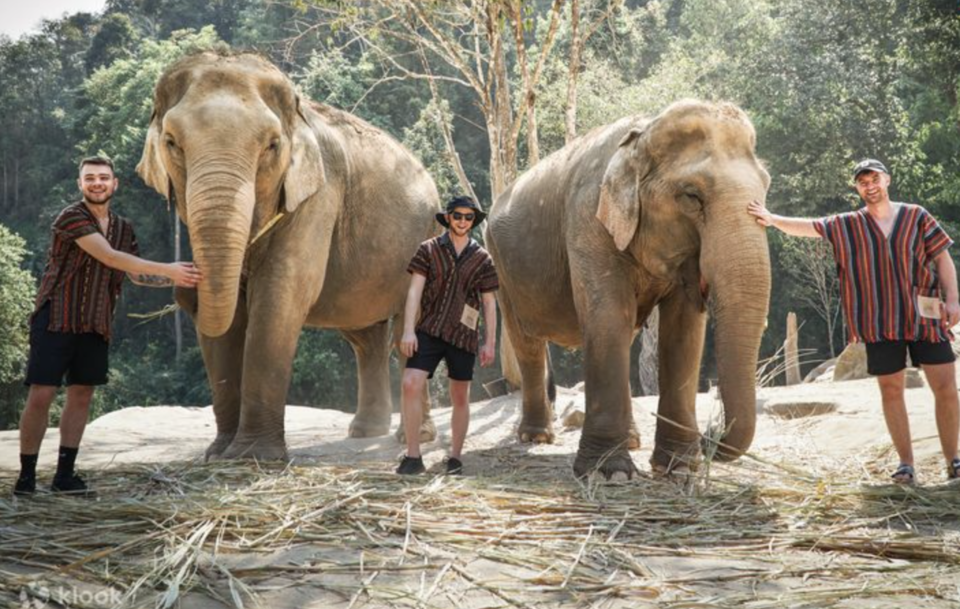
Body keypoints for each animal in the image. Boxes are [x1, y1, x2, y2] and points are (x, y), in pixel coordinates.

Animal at [136, 52, 440, 460]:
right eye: (171, 142)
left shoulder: (319, 195)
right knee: (366, 337)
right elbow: (230, 318)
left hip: (427, 237)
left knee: (408, 329)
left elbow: (280, 295)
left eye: (272, 145)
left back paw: (412, 437)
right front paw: (218, 454)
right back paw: (365, 432)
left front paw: (253, 457)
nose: (184, 292)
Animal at [485, 100, 771, 479]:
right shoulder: (587, 219)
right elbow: (608, 317)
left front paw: (680, 467)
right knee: (526, 343)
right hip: (502, 268)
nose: (711, 434)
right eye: (692, 196)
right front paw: (609, 473)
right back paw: (537, 437)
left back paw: (633, 441)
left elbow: (683, 332)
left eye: (766, 188)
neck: (643, 132)